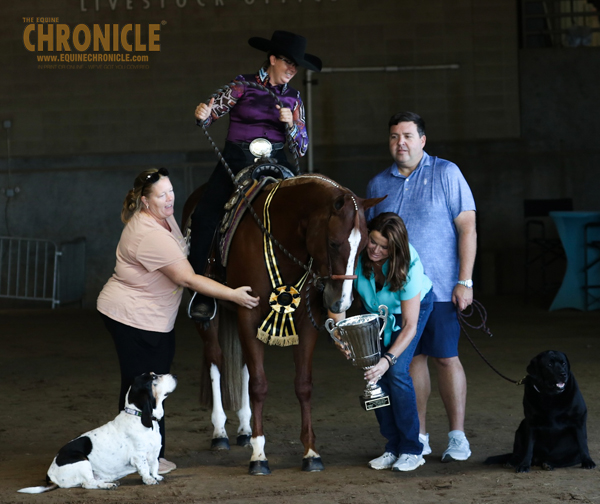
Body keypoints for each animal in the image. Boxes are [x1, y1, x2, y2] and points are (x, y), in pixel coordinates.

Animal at [18, 370, 177, 492]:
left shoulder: (155, 453)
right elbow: (145, 469)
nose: (174, 374)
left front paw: (156, 476)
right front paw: (150, 480)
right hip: (82, 462)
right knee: (88, 484)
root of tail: (50, 477)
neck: (137, 415)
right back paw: (108, 485)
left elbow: (154, 466)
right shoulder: (139, 456)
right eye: (154, 378)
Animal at [183, 175, 380, 474]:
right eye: (334, 243)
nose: (340, 303)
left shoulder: (307, 322)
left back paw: (244, 430)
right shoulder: (248, 313)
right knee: (216, 360)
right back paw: (220, 433)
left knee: (241, 365)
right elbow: (259, 385)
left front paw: (311, 453)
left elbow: (303, 384)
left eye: (365, 245)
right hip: (210, 317)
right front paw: (259, 456)